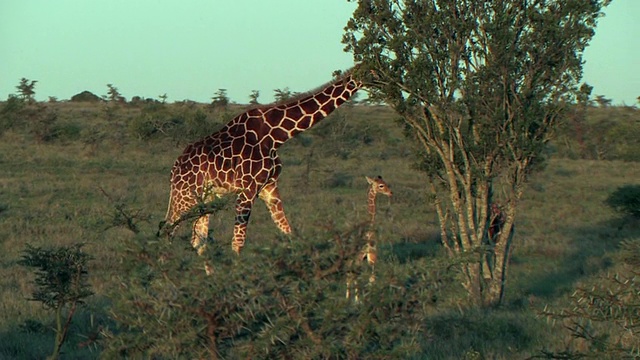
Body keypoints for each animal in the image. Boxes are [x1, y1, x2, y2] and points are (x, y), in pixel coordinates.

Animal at [165, 69, 362, 262]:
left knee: (198, 240)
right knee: (168, 230)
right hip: (186, 195)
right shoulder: (248, 189)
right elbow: (238, 242)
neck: (276, 135)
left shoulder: (269, 187)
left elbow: (288, 231)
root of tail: (175, 167)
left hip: (206, 198)